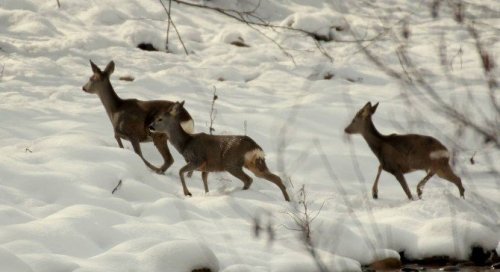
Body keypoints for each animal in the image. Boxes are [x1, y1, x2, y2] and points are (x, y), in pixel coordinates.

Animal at [147, 101, 290, 201]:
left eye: (159, 119)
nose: (150, 126)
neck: (185, 143)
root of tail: (255, 147)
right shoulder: (206, 167)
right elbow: (204, 181)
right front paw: (206, 195)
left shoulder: (197, 159)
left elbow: (181, 171)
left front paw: (188, 193)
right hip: (253, 163)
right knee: (276, 178)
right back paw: (288, 201)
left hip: (231, 163)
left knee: (249, 179)